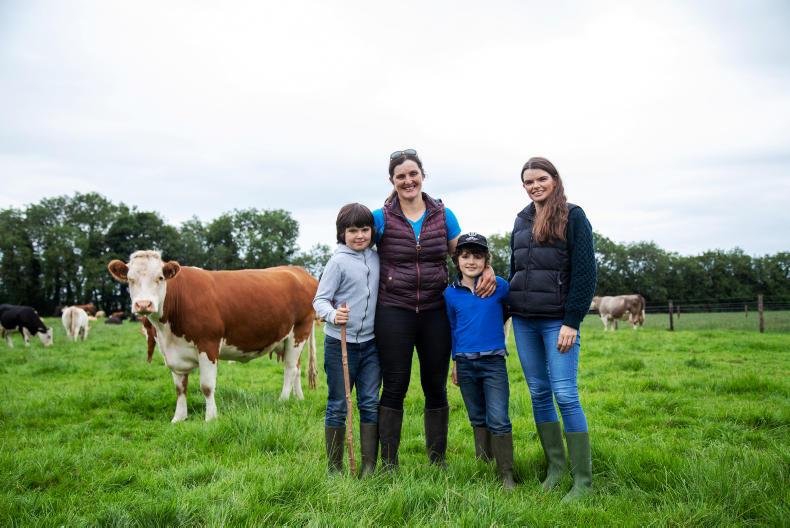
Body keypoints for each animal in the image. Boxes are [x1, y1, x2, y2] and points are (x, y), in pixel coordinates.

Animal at [107, 250, 318, 422]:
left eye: (160, 277)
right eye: (130, 279)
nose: (144, 304)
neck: (168, 332)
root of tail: (299, 271)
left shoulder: (208, 344)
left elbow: (206, 386)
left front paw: (210, 418)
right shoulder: (173, 353)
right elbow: (180, 388)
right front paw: (178, 418)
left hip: (300, 331)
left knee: (290, 369)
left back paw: (283, 400)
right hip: (288, 339)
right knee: (297, 367)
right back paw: (298, 398)